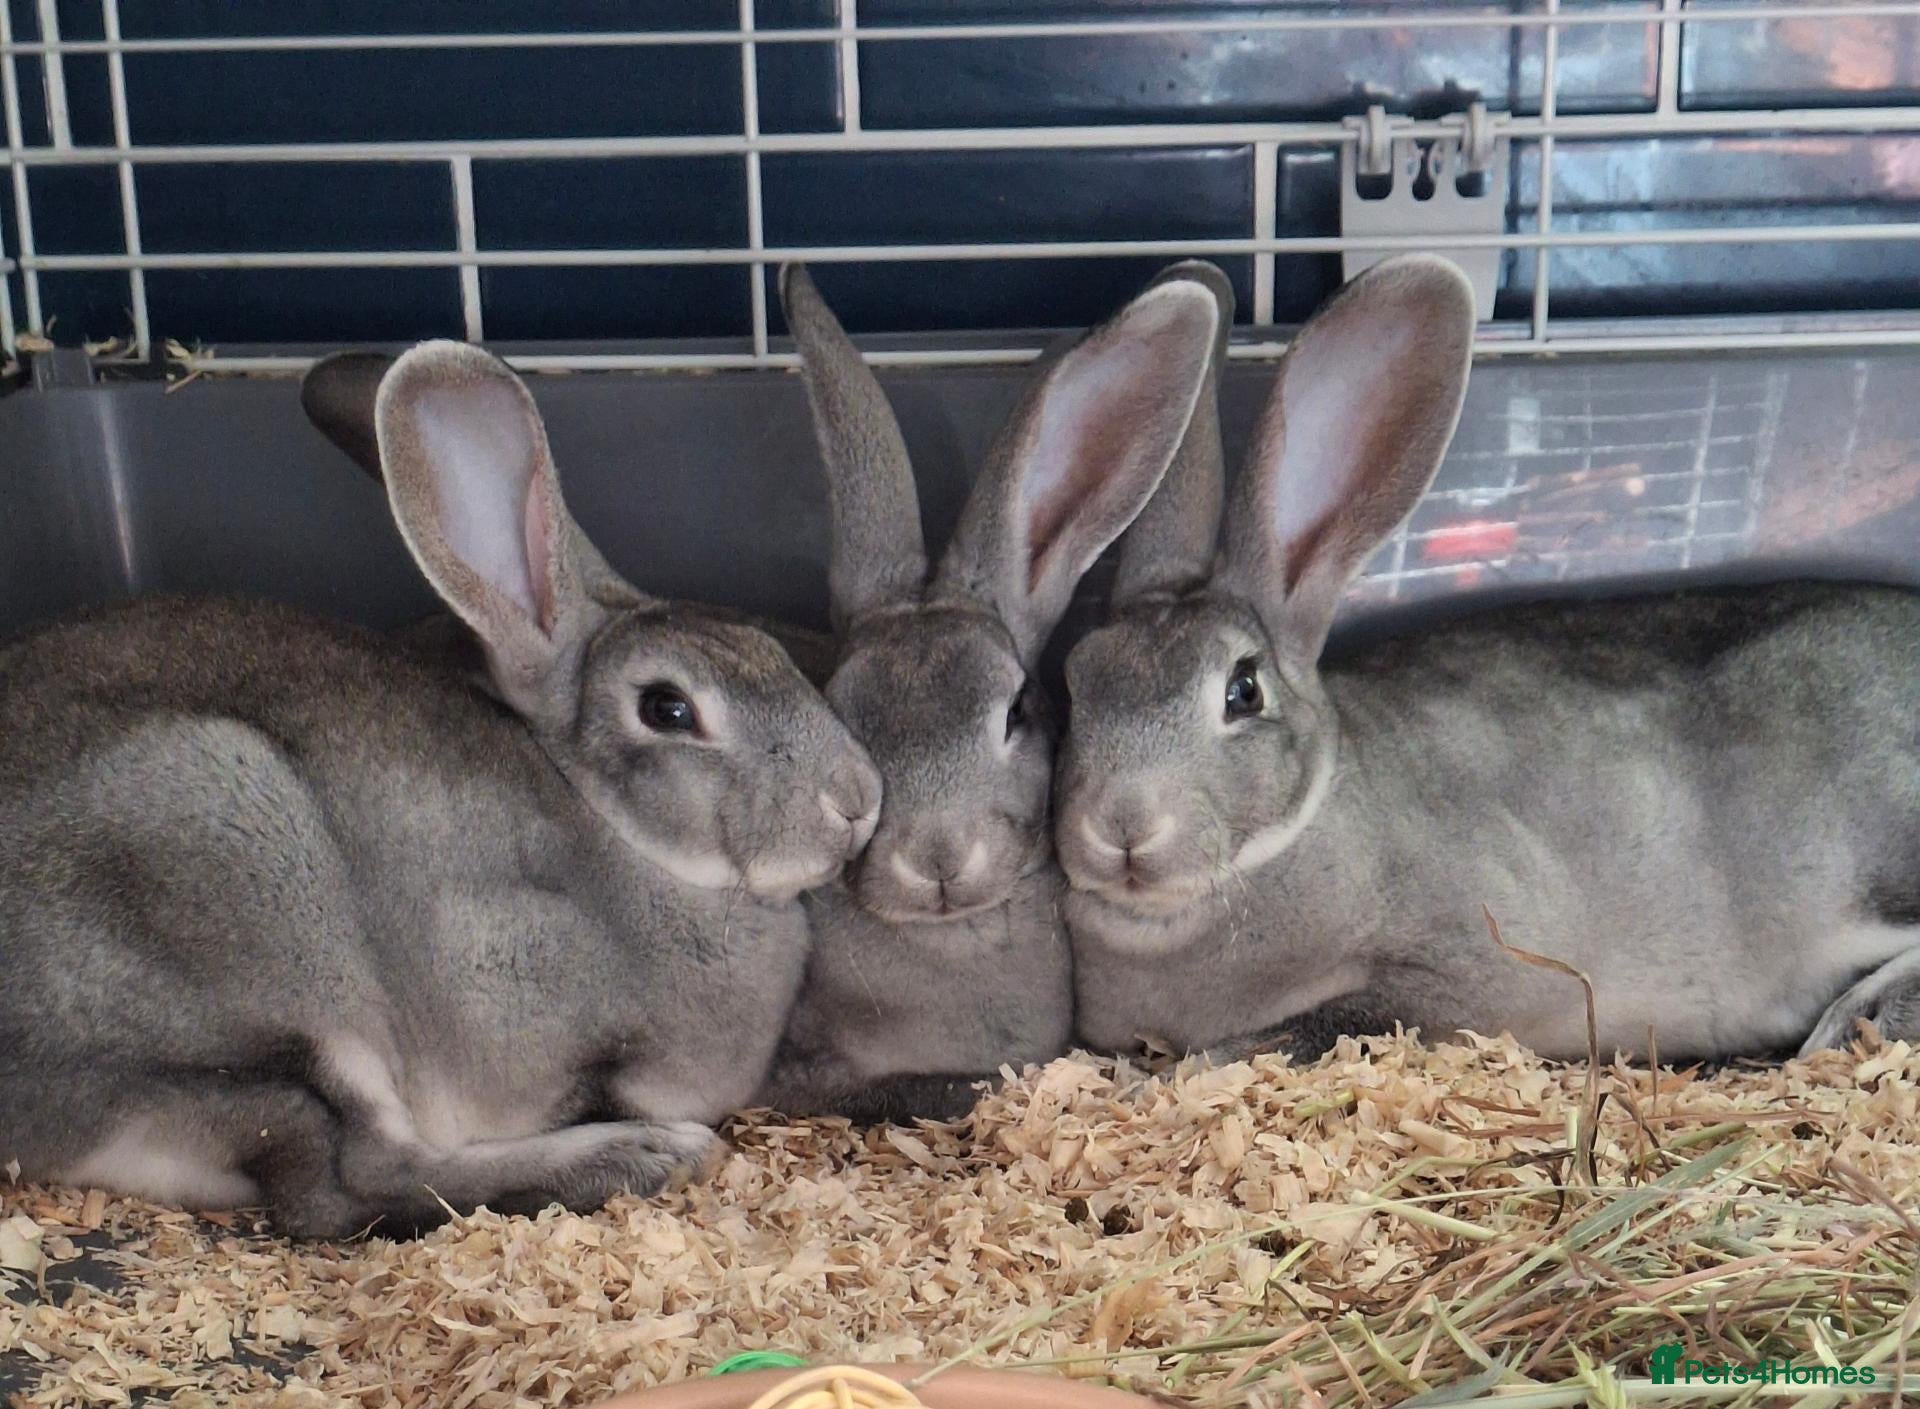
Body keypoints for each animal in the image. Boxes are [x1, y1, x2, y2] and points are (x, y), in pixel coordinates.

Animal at [0, 340, 882, 1238]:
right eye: (668, 708)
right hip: (260, 920)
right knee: (347, 1183)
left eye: (770, 653)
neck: (624, 840)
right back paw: (641, 1153)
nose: (857, 800)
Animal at [1054, 252, 1920, 1068]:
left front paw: (1188, 1068)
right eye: (1074, 681)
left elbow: (1331, 1024)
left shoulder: (1471, 968)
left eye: (1242, 689)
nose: (1123, 825)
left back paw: (1858, 1019)